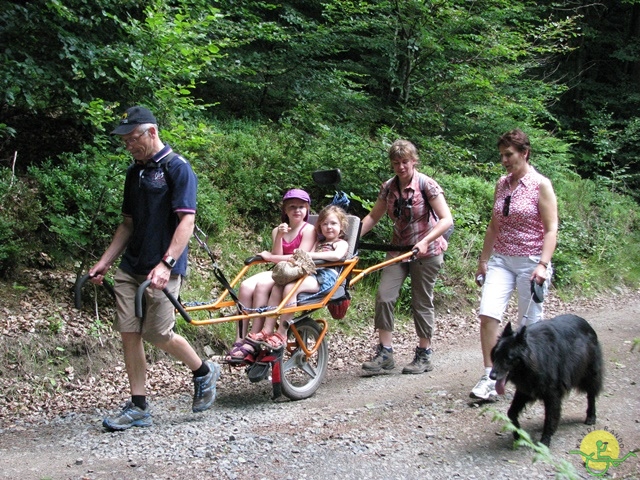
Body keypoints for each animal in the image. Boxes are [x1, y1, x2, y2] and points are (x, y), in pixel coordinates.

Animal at [490, 316, 604, 446]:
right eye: (496, 355)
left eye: (508, 358)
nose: (491, 376)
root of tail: (587, 324)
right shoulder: (525, 390)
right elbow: (511, 413)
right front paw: (518, 434)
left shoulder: (552, 394)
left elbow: (549, 418)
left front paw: (545, 440)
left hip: (589, 375)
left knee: (591, 395)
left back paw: (591, 416)